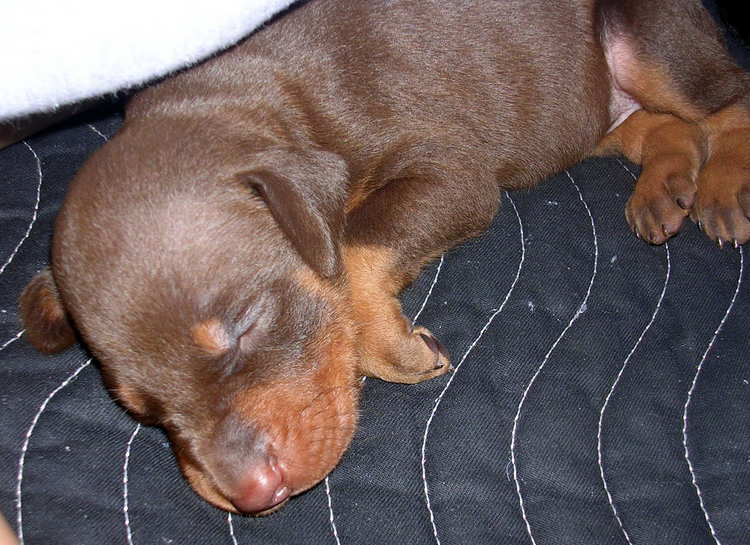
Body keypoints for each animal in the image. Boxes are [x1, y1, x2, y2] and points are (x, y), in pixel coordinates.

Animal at [16, 0, 750, 516]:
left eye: (246, 326)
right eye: (141, 409)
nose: (251, 495)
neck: (256, 106)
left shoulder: (452, 170)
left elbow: (354, 246)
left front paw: (393, 347)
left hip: (651, 43)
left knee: (726, 101)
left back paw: (722, 185)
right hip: (588, 111)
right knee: (663, 127)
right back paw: (664, 189)